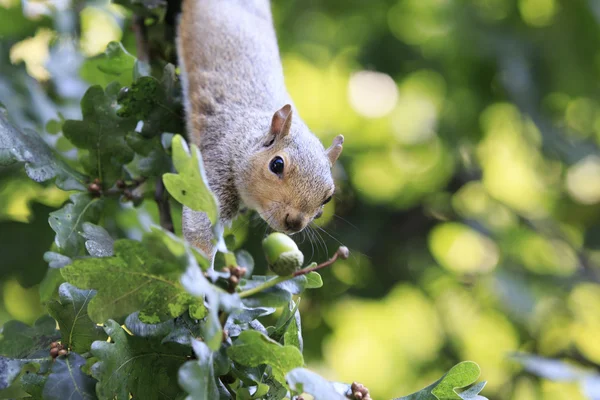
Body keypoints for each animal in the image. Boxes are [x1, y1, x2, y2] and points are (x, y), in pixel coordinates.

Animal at [175, 0, 342, 258]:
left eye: (328, 197)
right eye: (277, 165)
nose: (295, 222)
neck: (248, 135)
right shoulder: (219, 158)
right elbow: (200, 222)